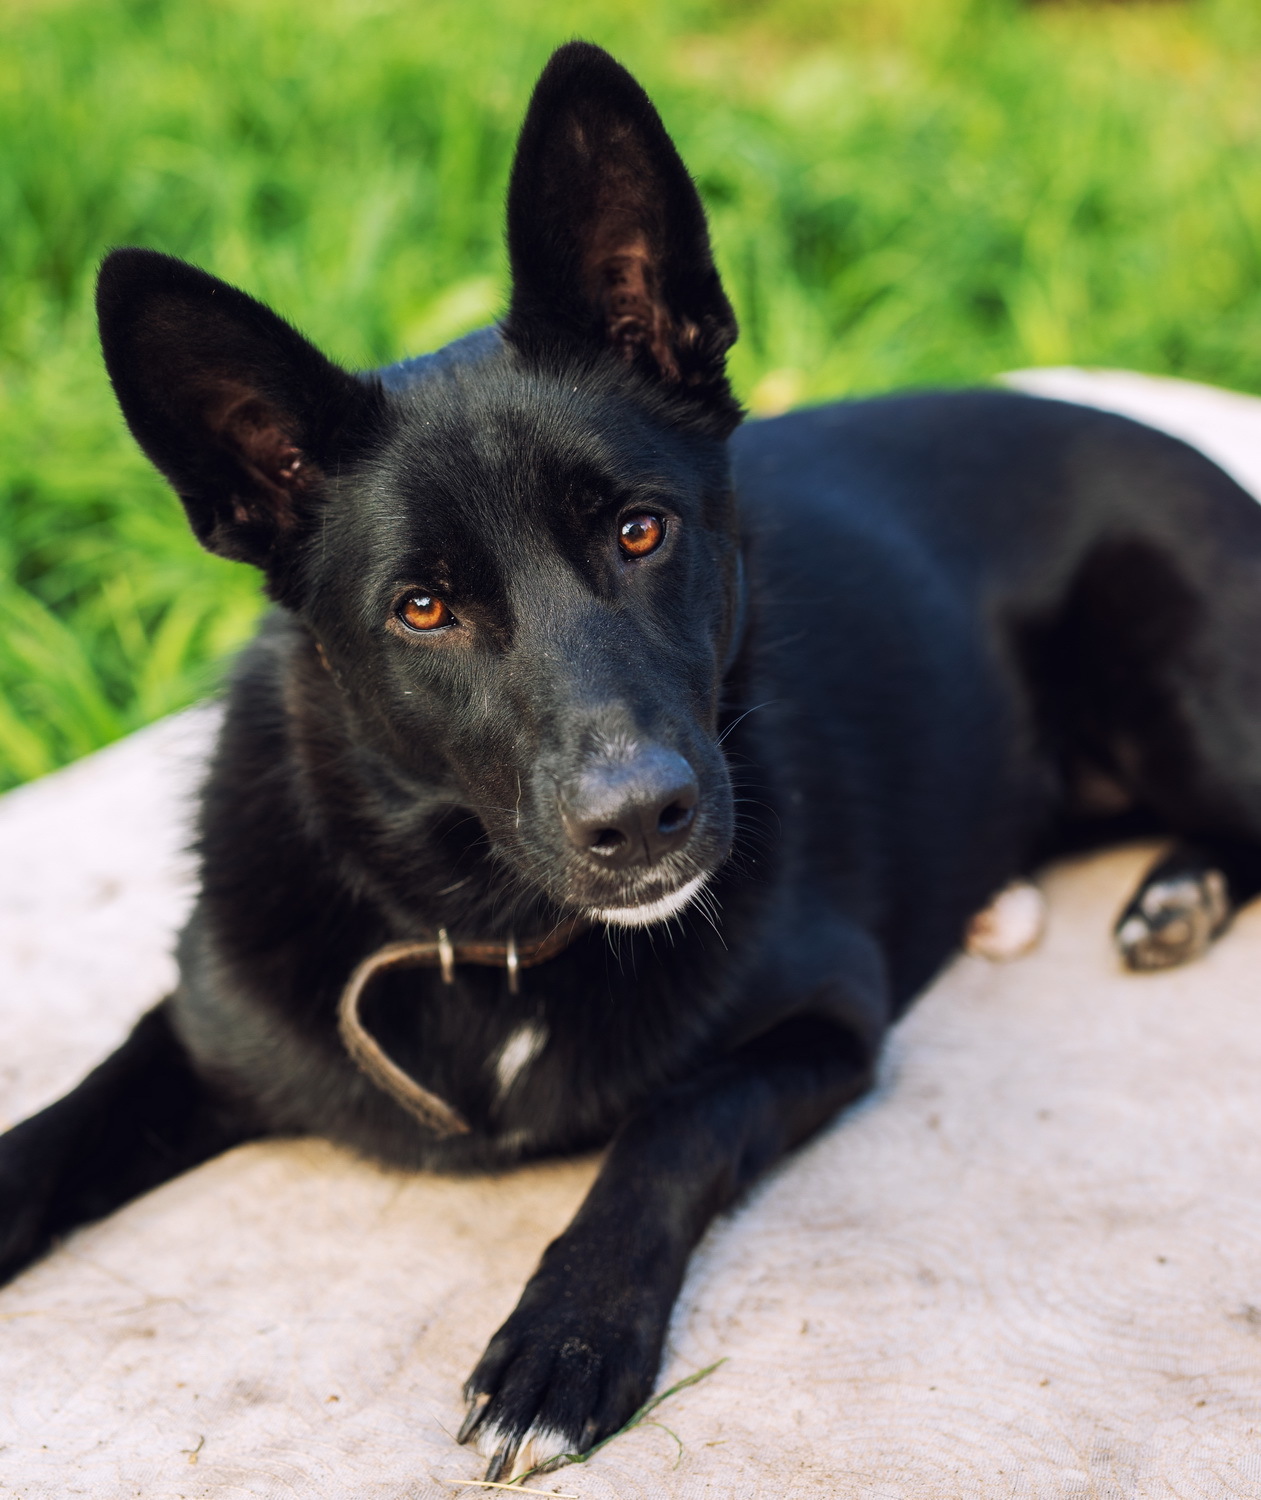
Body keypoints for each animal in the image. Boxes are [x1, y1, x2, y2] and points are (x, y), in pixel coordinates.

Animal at [2, 41, 1259, 1482]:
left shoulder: (823, 1021)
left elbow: (667, 1128)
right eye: (421, 608)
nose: (643, 818)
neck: (487, 934)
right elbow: (53, 1129)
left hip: (1187, 699)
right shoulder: (201, 1029)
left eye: (640, 530)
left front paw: (563, 1342)